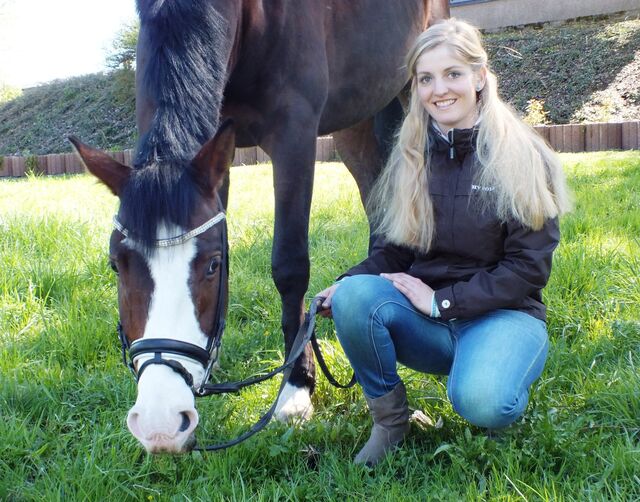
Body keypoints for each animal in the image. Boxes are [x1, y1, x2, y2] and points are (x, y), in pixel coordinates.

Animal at [72, 0, 448, 452]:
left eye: (212, 265)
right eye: (116, 265)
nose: (159, 423)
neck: (247, 18)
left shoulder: (294, 136)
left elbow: (289, 266)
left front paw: (297, 386)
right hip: (355, 121)